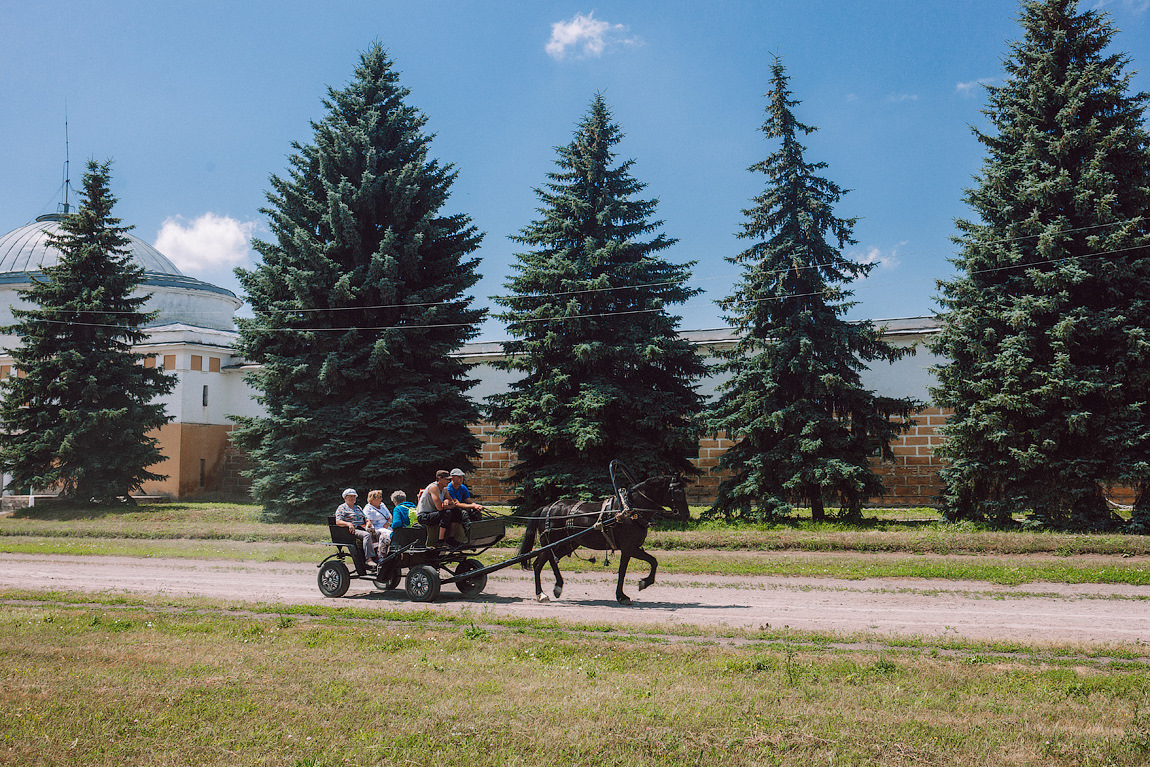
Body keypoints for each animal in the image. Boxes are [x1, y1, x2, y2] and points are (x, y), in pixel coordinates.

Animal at [517, 473, 685, 607]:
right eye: (677, 491)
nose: (686, 514)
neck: (630, 510)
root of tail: (546, 507)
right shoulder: (629, 548)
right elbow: (650, 562)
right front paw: (640, 585)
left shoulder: (628, 550)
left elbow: (625, 570)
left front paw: (623, 595)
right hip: (550, 542)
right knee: (538, 564)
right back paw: (541, 594)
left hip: (568, 544)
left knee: (551, 560)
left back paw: (558, 586)